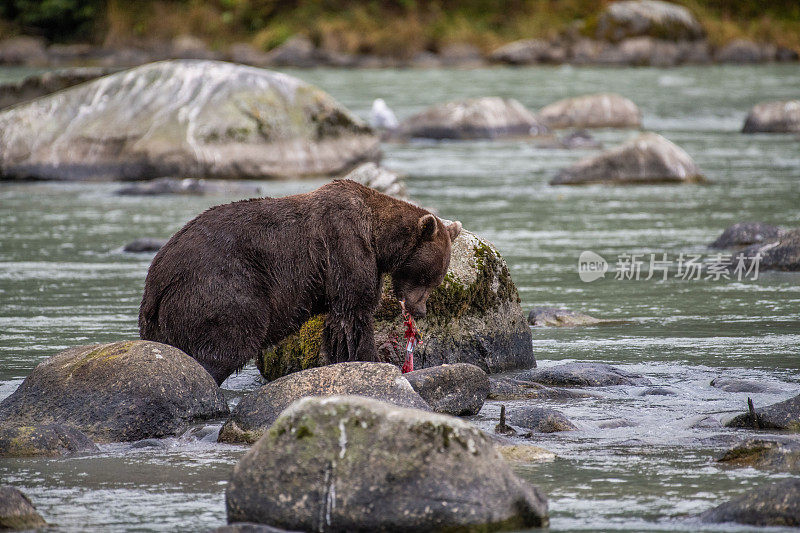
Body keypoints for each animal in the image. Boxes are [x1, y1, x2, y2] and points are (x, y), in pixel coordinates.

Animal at [138, 181, 462, 384]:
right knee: (223, 344)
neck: (378, 238)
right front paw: (368, 358)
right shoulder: (345, 246)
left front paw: (339, 358)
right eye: (427, 277)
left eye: (435, 281)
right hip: (220, 286)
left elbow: (338, 323)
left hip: (161, 318)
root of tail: (158, 278)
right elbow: (355, 311)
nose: (419, 310)